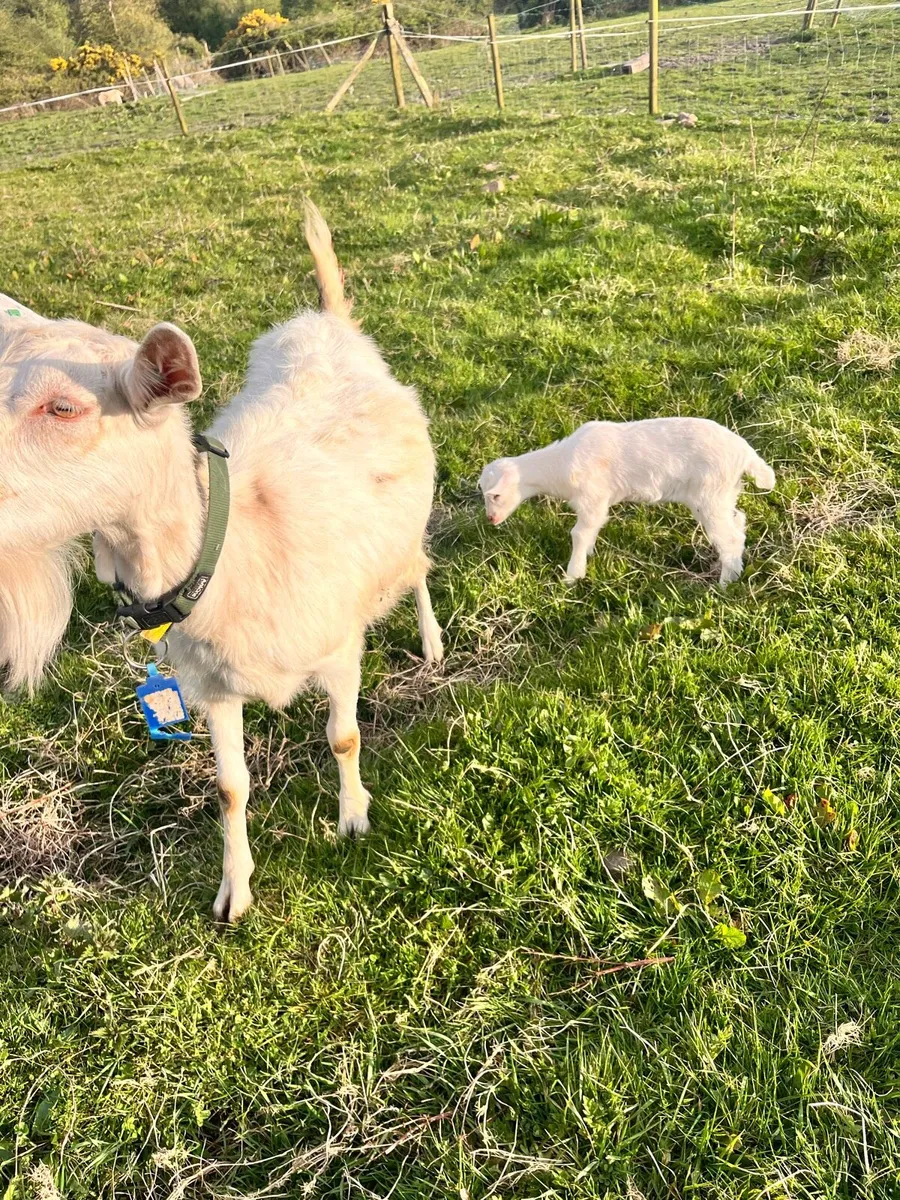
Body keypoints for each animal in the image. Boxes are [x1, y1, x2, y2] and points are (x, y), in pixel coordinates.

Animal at [0, 203, 443, 921]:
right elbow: (231, 787)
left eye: (62, 407)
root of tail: (328, 319)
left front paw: (353, 818)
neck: (234, 552)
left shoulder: (340, 648)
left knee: (418, 569)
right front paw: (235, 891)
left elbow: (343, 737)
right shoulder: (209, 687)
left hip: (405, 530)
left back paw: (432, 642)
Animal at [479, 417, 775, 585]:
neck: (560, 464)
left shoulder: (592, 498)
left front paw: (572, 576)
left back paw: (724, 584)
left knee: (730, 537)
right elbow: (590, 532)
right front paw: (586, 558)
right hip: (723, 493)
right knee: (737, 524)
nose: (490, 519)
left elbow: (579, 533)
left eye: (496, 495)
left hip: (710, 494)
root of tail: (745, 453)